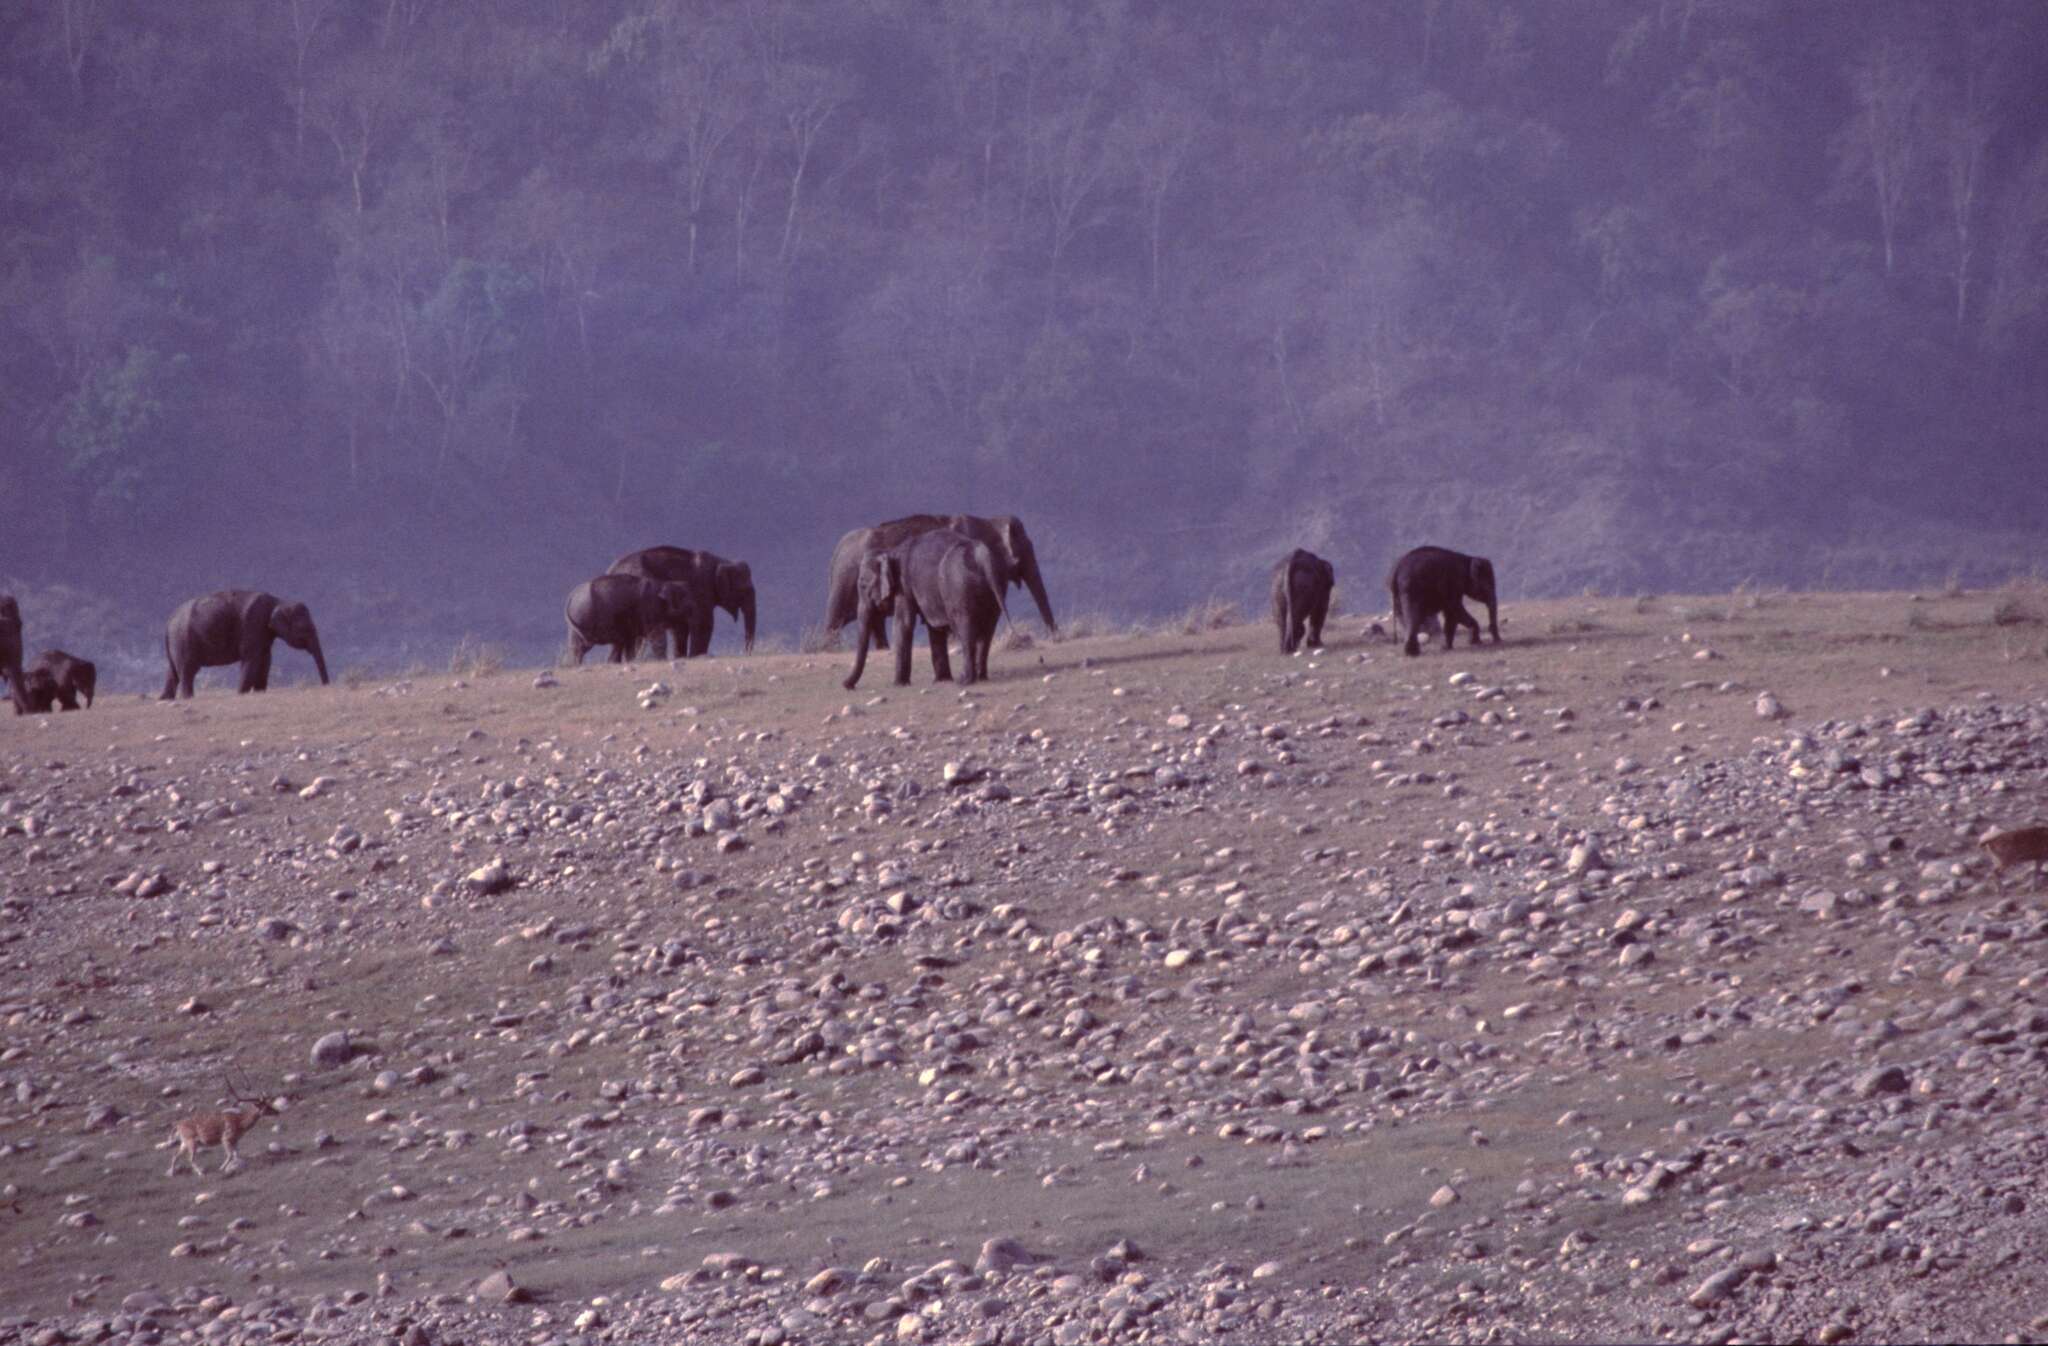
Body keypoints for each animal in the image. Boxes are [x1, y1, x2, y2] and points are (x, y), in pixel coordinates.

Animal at [161, 590, 329, 696]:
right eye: (304, 628)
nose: (325, 685)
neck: (278, 601)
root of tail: (168, 622)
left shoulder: (264, 634)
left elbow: (265, 660)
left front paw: (260, 691)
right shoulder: (253, 624)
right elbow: (251, 659)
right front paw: (241, 693)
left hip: (177, 645)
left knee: (173, 673)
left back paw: (165, 699)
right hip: (183, 642)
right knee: (187, 672)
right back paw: (187, 698)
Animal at [565, 573, 700, 667]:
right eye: (688, 607)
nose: (683, 658)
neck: (664, 583)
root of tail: (570, 597)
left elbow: (630, 642)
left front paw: (629, 662)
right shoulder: (650, 610)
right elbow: (657, 637)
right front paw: (662, 660)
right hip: (585, 617)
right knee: (583, 646)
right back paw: (578, 664)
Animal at [602, 544, 757, 655]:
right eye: (746, 590)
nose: (745, 653)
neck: (722, 561)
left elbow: (680, 629)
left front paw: (681, 657)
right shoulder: (702, 590)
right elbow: (704, 625)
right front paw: (695, 657)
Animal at [819, 512, 1048, 643]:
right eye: (1025, 549)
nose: (1053, 637)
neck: (988, 522)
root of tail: (835, 553)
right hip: (844, 583)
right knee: (834, 623)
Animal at [843, 528, 1011, 692]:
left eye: (863, 586)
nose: (846, 685)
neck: (890, 551)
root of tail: (982, 554)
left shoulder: (904, 587)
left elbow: (903, 624)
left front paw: (898, 684)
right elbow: (934, 629)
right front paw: (941, 681)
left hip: (959, 588)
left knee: (963, 627)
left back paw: (965, 680)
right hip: (996, 586)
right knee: (987, 632)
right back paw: (981, 678)